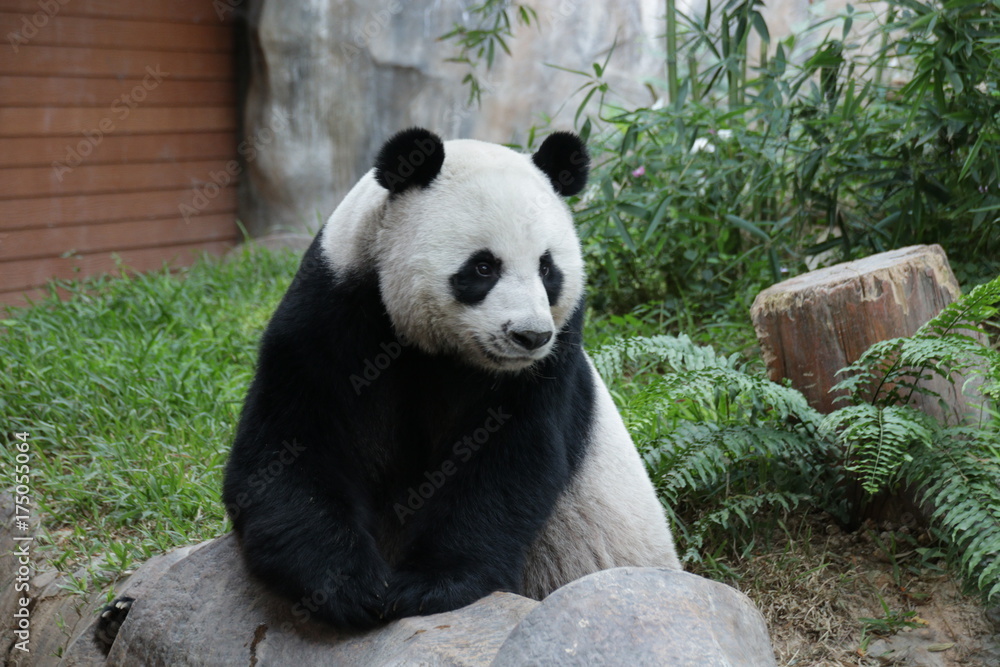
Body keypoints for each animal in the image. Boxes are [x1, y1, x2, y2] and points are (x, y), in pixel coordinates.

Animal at [96, 128, 680, 649]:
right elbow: (289, 446)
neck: (441, 352)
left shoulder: (550, 368)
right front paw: (350, 588)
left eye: (548, 269)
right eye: (483, 267)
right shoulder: (333, 310)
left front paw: (427, 586)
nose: (529, 336)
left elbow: (509, 463)